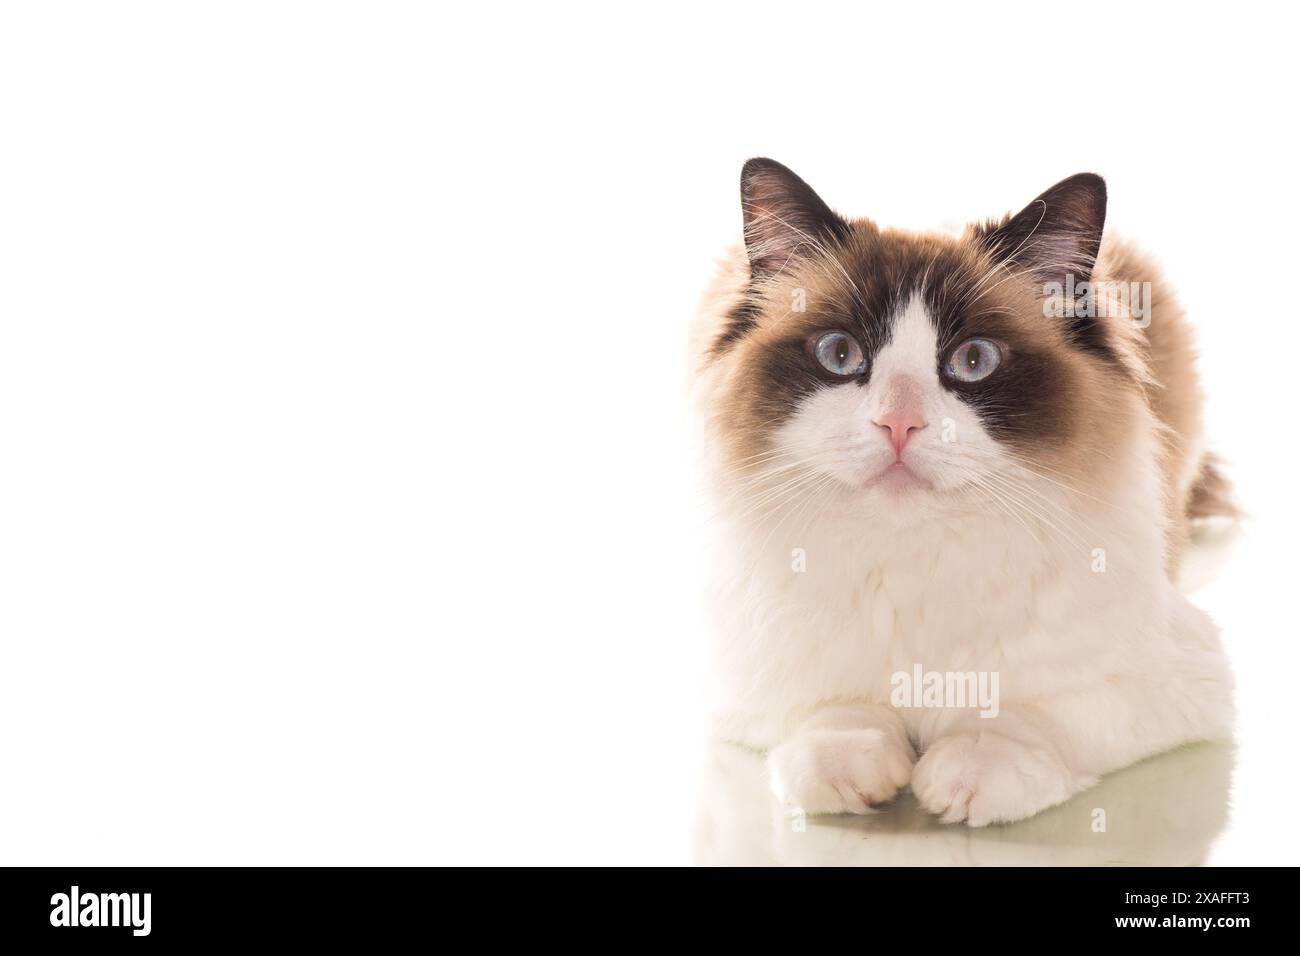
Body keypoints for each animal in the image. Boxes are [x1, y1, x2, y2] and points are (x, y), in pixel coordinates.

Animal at [696, 160, 1232, 827]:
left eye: (973, 361)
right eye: (840, 354)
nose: (898, 424)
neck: (912, 562)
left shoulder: (1176, 676)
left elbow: (1029, 716)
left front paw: (970, 771)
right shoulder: (743, 675)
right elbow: (835, 709)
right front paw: (850, 766)